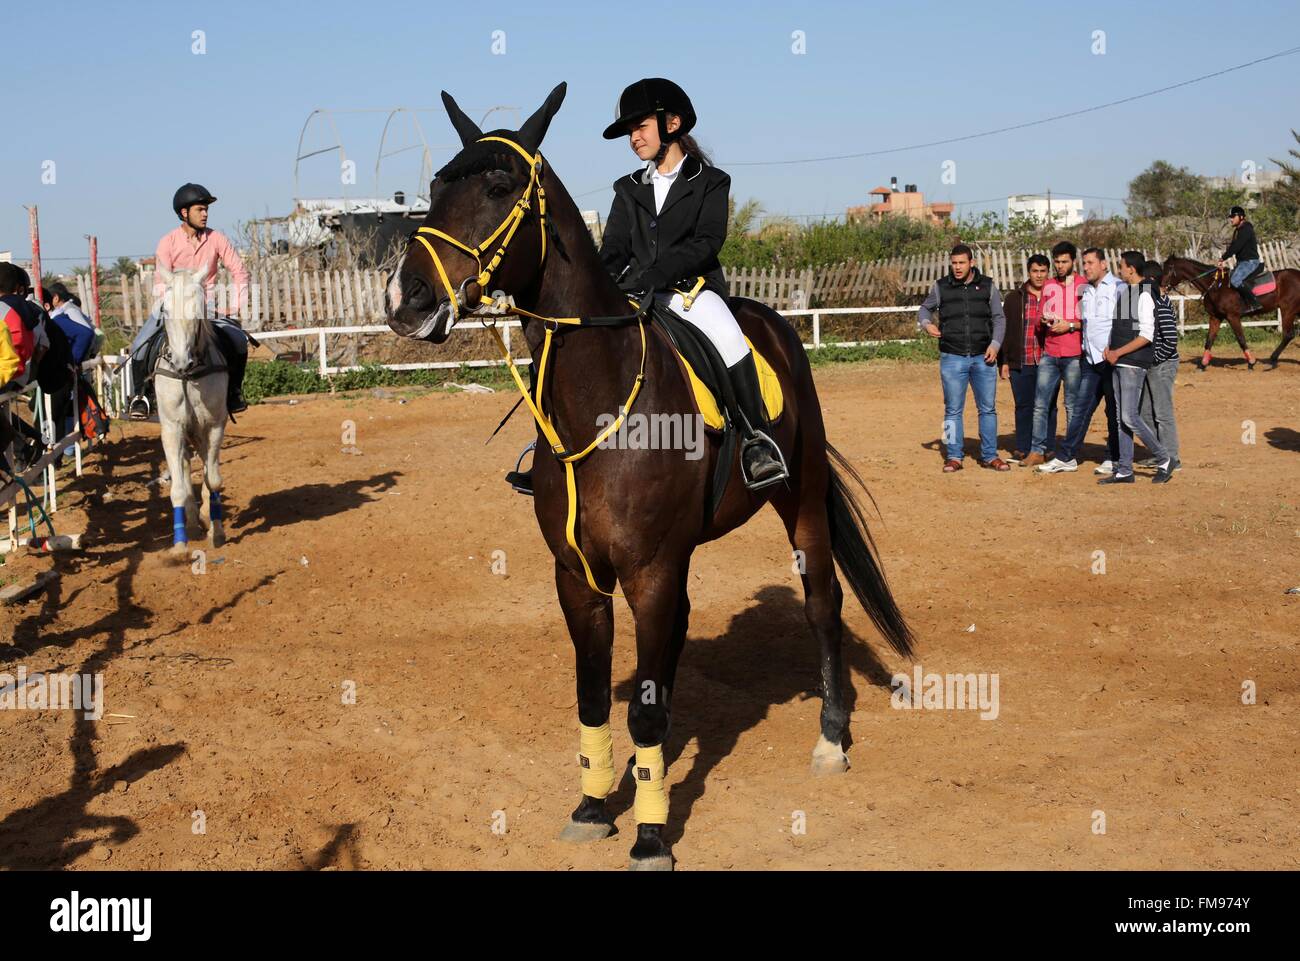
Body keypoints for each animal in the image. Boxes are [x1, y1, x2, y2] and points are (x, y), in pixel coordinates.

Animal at [153, 266, 229, 559]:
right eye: (164, 309)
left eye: (198, 309)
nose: (181, 361)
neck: (190, 375)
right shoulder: (172, 429)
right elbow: (177, 489)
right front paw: (179, 544)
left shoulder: (215, 426)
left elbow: (214, 480)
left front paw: (217, 531)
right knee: (184, 470)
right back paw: (193, 520)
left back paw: (205, 516)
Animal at [385, 82, 914, 871]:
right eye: (436, 187)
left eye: (500, 188)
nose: (406, 299)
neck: (597, 399)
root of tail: (775, 324)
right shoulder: (579, 576)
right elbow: (594, 697)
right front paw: (593, 804)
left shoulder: (650, 570)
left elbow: (643, 709)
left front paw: (651, 832)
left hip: (802, 500)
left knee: (822, 604)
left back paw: (829, 738)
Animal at [1161, 255, 1300, 370]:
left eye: (1168, 269)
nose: (1161, 287)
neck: (1215, 285)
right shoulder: (1215, 317)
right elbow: (1209, 340)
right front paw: (1203, 364)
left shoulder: (1233, 317)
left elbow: (1241, 339)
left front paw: (1251, 362)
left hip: (1287, 310)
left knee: (1288, 335)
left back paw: (1273, 359)